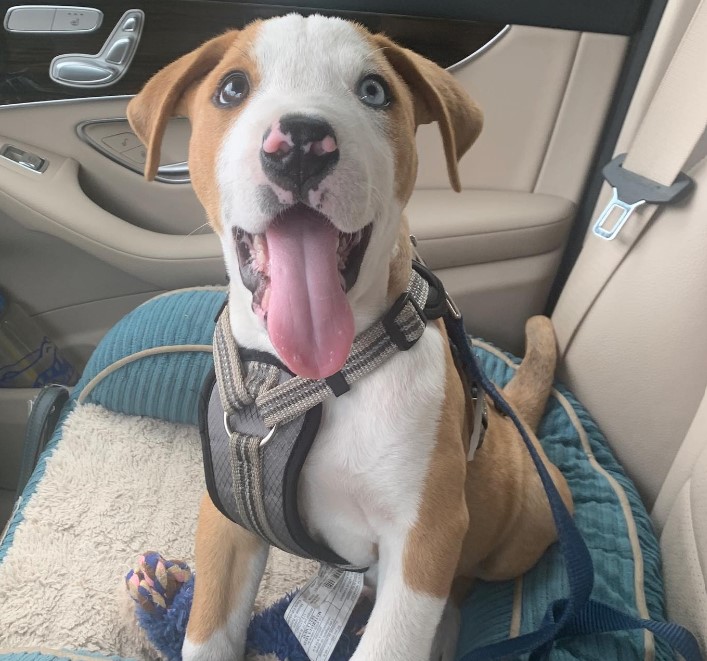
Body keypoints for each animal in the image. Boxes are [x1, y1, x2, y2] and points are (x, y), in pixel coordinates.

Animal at [129, 12, 576, 656]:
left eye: (373, 91)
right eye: (232, 88)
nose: (300, 142)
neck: (305, 380)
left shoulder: (426, 536)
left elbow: (395, 637)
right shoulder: (227, 517)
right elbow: (207, 633)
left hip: (513, 539)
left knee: (465, 581)